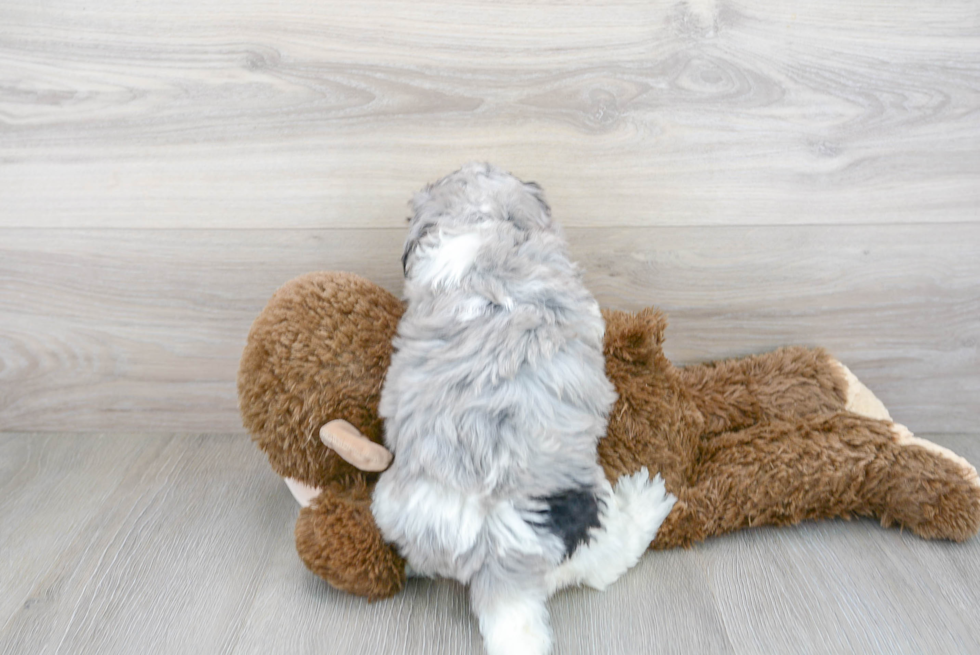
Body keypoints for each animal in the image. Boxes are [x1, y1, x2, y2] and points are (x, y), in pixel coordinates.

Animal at [372, 164, 676, 655]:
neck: (481, 225)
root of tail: (497, 564)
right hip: (588, 517)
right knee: (603, 565)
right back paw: (647, 502)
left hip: (393, 505)